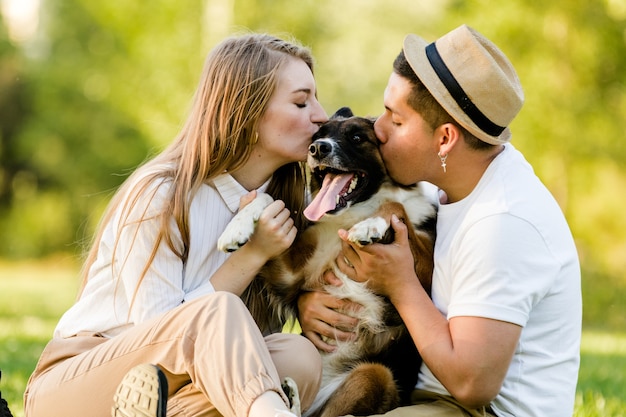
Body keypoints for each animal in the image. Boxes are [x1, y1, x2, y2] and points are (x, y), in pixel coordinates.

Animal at [217, 108, 436, 416]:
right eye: (317, 137)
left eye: (357, 138)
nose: (318, 149)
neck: (352, 213)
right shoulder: (291, 274)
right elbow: (269, 197)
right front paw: (236, 229)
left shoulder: (427, 270)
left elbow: (395, 206)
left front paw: (370, 226)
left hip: (374, 375)